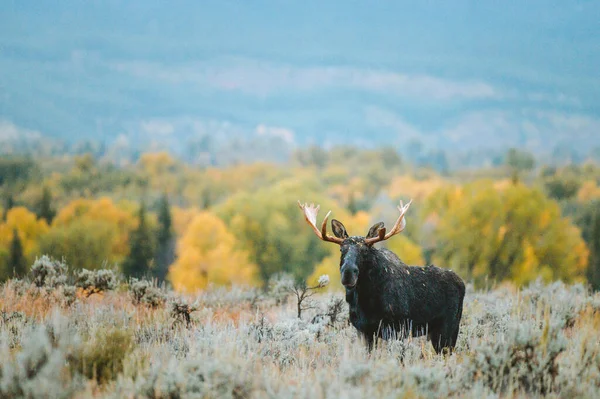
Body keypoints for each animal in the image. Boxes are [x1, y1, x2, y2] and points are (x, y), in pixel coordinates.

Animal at [298, 202, 466, 354]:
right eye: (341, 249)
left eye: (365, 250)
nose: (348, 273)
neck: (366, 300)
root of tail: (462, 283)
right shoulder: (363, 330)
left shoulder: (396, 328)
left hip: (449, 328)